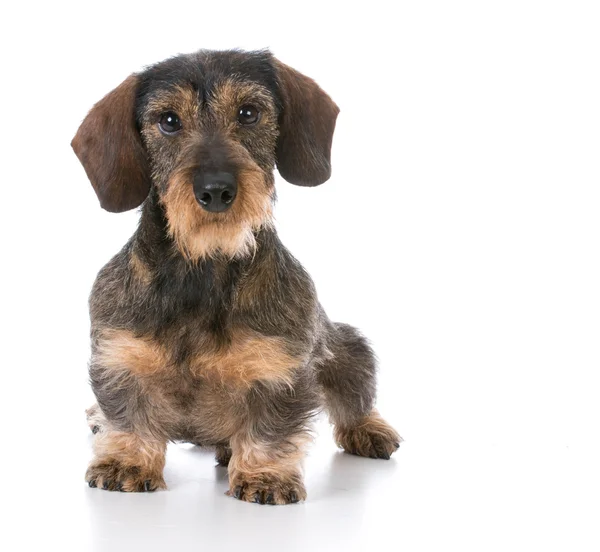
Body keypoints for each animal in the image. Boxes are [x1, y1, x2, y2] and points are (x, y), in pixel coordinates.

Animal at [72, 50, 400, 504]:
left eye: (248, 113)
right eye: (168, 120)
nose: (215, 190)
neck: (202, 267)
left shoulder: (279, 368)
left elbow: (270, 427)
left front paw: (265, 475)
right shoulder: (120, 356)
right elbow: (126, 414)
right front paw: (127, 461)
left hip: (347, 349)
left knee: (355, 396)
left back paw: (368, 429)